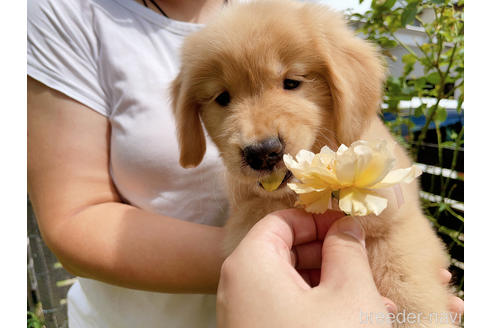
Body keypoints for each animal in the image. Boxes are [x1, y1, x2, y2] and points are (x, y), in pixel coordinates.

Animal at [171, 1, 456, 326]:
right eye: (222, 98)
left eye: (292, 83)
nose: (262, 153)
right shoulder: (247, 222)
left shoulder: (397, 228)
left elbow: (408, 289)